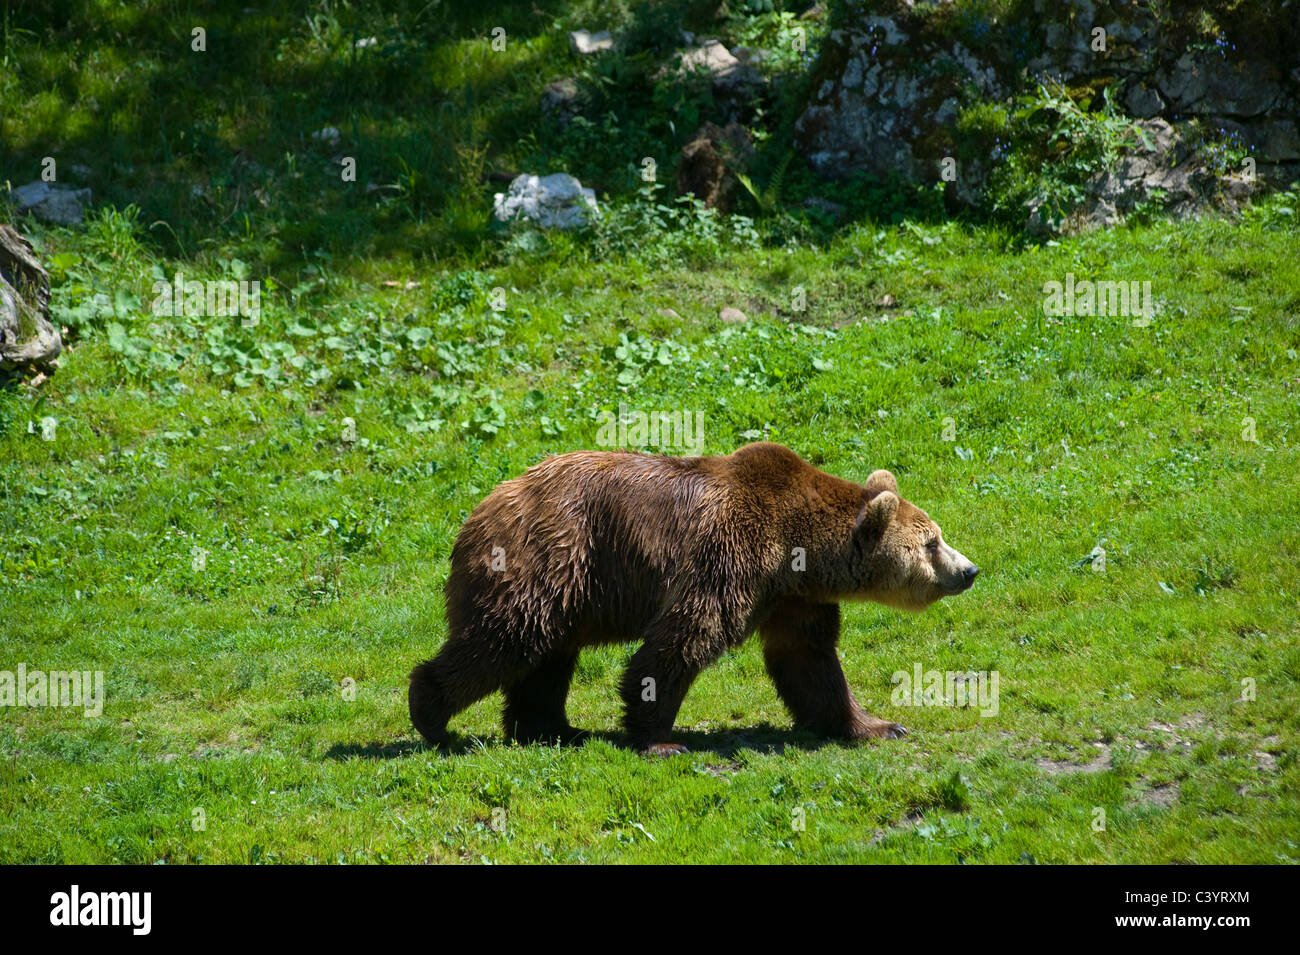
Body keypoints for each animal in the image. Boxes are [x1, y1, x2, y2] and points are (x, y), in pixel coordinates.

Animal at [405, 444, 977, 758]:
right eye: (932, 542)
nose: (969, 570)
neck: (799, 547)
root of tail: (480, 508)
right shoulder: (730, 553)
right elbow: (684, 638)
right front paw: (661, 738)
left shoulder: (793, 597)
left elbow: (809, 660)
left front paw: (878, 725)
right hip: (551, 553)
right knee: (506, 638)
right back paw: (432, 715)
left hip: (567, 585)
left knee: (546, 654)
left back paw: (550, 728)